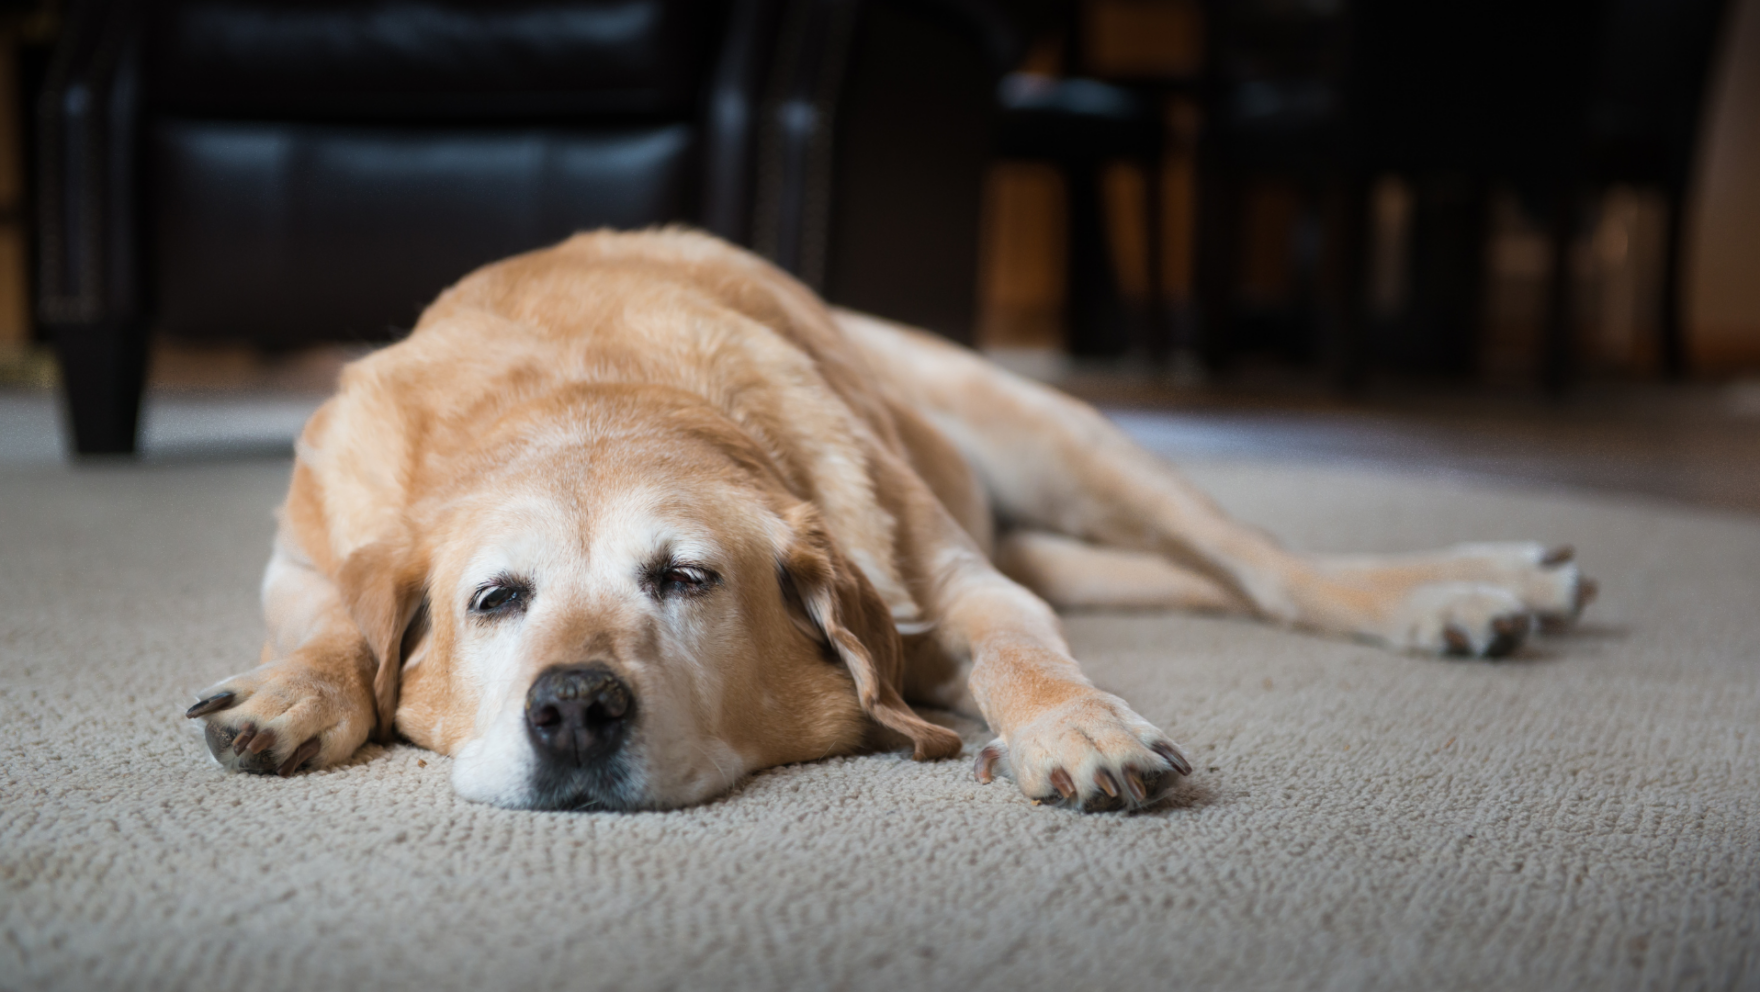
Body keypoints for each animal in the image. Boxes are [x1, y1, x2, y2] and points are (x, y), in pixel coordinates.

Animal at [182, 228, 1598, 809]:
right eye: (495, 599)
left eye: (684, 578)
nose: (573, 705)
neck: (587, 391)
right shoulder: (299, 556)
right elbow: (334, 625)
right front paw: (294, 692)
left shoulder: (957, 582)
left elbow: (1018, 647)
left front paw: (1074, 726)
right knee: (1195, 582)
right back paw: (1506, 583)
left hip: (1061, 439)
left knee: (1265, 569)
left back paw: (1460, 589)